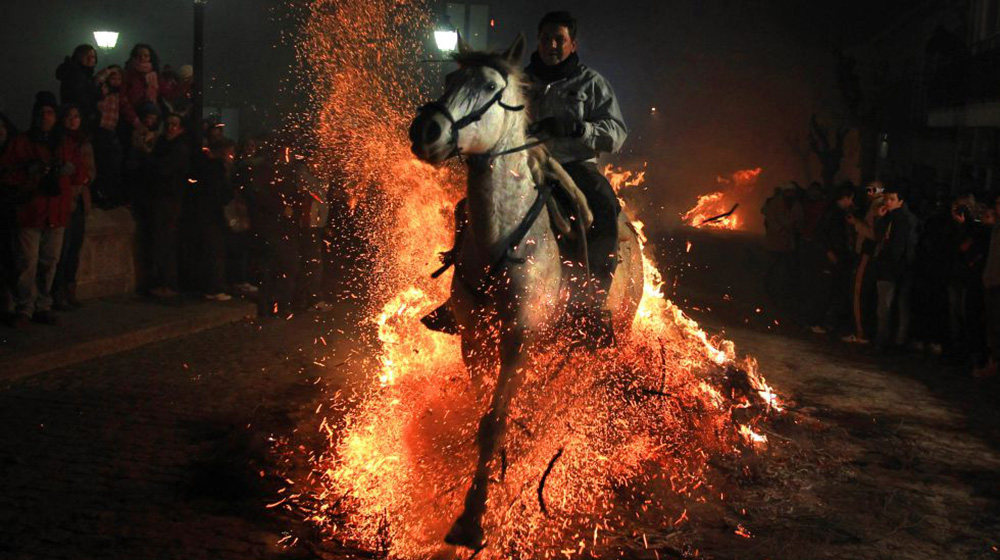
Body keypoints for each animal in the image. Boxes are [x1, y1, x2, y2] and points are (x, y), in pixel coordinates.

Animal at [410, 36, 644, 552]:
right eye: (450, 79)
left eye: (491, 88)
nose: (426, 129)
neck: (504, 238)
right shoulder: (475, 338)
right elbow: (483, 413)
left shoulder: (519, 339)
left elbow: (494, 421)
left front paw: (472, 517)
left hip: (598, 338)